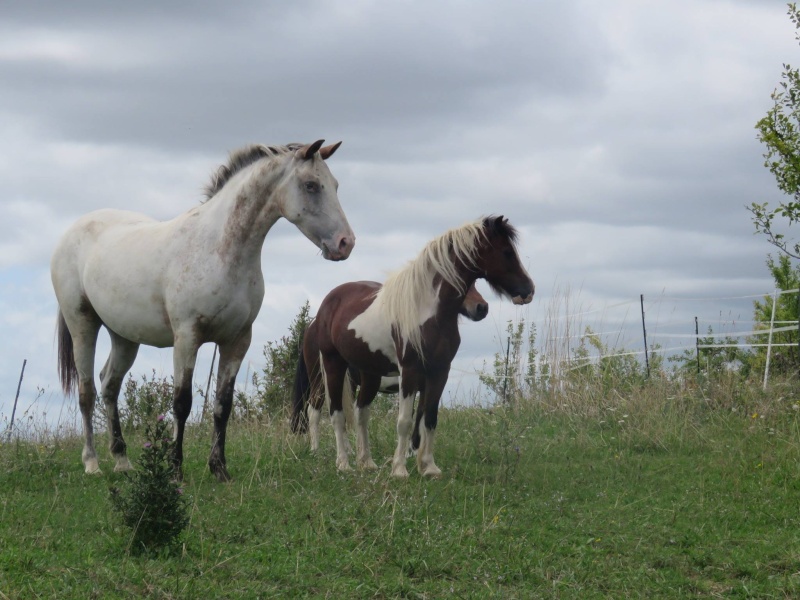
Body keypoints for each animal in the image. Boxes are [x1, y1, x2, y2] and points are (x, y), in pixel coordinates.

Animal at [54, 138, 354, 480]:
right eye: (311, 185)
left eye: (335, 185)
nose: (345, 243)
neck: (220, 249)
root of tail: (71, 232)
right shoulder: (187, 337)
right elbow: (181, 403)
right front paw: (175, 469)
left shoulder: (237, 341)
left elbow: (223, 405)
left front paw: (219, 468)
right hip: (83, 325)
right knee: (87, 392)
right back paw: (92, 462)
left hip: (125, 337)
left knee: (109, 386)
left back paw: (122, 459)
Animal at [290, 216, 532, 478]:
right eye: (507, 252)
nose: (528, 290)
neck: (429, 311)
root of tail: (322, 311)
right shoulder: (410, 371)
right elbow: (405, 421)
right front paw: (399, 469)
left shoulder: (439, 371)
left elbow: (429, 418)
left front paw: (428, 467)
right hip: (330, 367)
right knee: (332, 414)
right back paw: (341, 462)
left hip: (369, 374)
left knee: (361, 412)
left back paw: (366, 462)